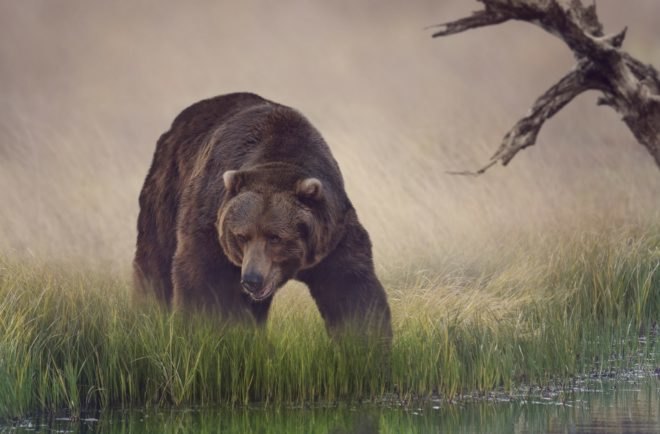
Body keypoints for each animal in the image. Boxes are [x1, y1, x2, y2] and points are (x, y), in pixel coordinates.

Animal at [133, 92, 391, 339]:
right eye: (241, 236)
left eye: (275, 237)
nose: (251, 279)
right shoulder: (210, 221)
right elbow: (202, 279)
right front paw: (201, 330)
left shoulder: (332, 235)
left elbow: (351, 289)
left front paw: (361, 341)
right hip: (167, 190)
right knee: (155, 260)